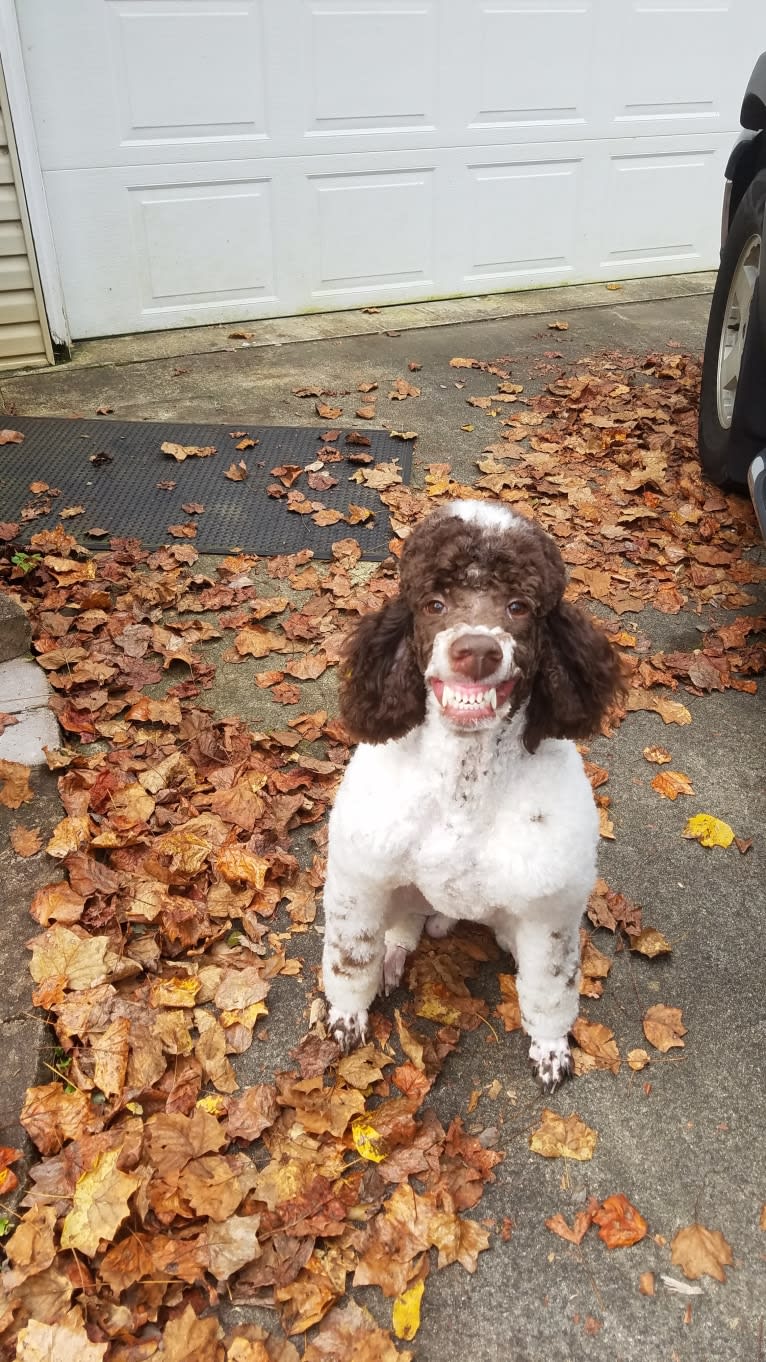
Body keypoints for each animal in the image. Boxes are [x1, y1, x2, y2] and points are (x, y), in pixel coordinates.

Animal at [318, 503, 624, 1095]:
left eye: (519, 606)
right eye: (434, 604)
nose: (478, 650)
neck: (464, 784)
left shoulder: (550, 913)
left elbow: (551, 990)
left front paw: (551, 1048)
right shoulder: (360, 878)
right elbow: (351, 956)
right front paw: (348, 1015)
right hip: (401, 890)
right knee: (402, 928)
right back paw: (395, 956)